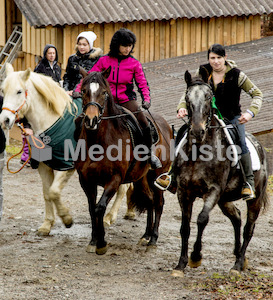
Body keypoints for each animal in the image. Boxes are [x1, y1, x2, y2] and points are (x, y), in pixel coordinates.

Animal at [0, 63, 134, 236]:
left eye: (19, 91)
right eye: (3, 91)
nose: (5, 120)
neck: (52, 121)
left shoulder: (66, 166)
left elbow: (54, 191)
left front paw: (66, 218)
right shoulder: (44, 166)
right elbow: (47, 194)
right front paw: (47, 224)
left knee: (123, 188)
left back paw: (109, 217)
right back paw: (129, 211)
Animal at [74, 68, 172, 255]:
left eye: (104, 93)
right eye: (83, 91)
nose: (90, 120)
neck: (98, 142)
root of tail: (166, 125)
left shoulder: (114, 179)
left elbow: (99, 208)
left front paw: (101, 243)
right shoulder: (86, 180)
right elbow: (92, 209)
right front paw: (93, 240)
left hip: (157, 175)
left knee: (159, 203)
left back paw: (153, 239)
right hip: (141, 178)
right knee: (149, 200)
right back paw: (146, 235)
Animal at [171, 69, 266, 278]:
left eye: (208, 97)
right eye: (187, 98)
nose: (197, 131)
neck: (199, 151)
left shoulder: (213, 191)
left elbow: (202, 219)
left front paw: (196, 257)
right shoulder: (183, 191)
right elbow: (184, 227)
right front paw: (180, 265)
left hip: (253, 199)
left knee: (249, 228)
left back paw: (237, 265)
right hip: (225, 199)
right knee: (237, 217)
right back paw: (239, 256)